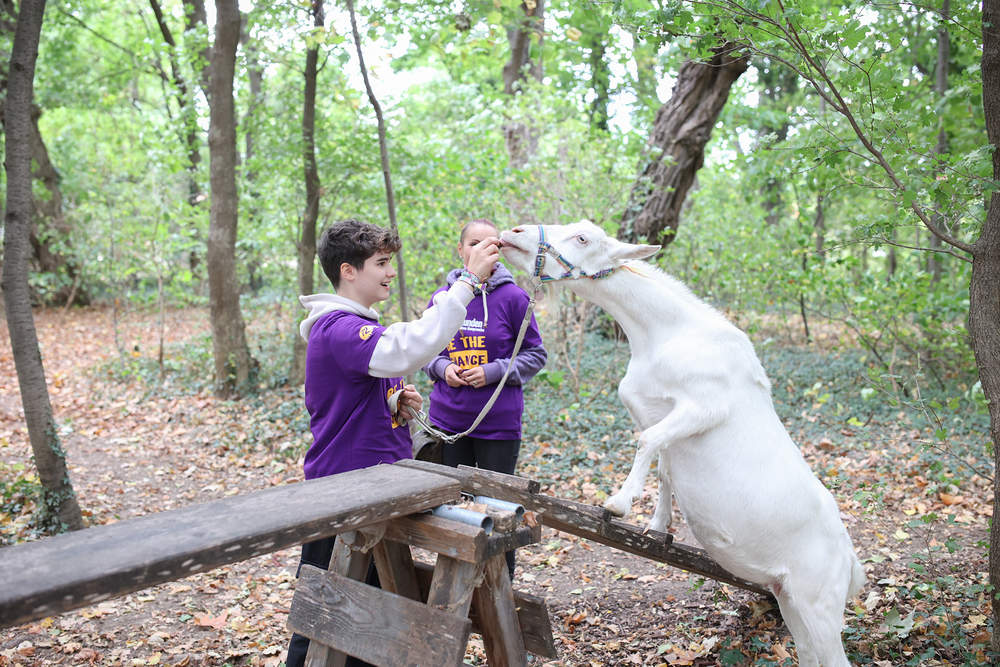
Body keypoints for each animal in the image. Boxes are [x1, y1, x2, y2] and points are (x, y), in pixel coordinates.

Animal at [500, 221, 866, 667]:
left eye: (583, 238)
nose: (514, 232)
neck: (666, 334)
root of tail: (848, 558)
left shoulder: (703, 407)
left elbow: (648, 442)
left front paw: (618, 504)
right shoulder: (659, 414)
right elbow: (664, 466)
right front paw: (657, 525)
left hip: (819, 605)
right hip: (790, 599)